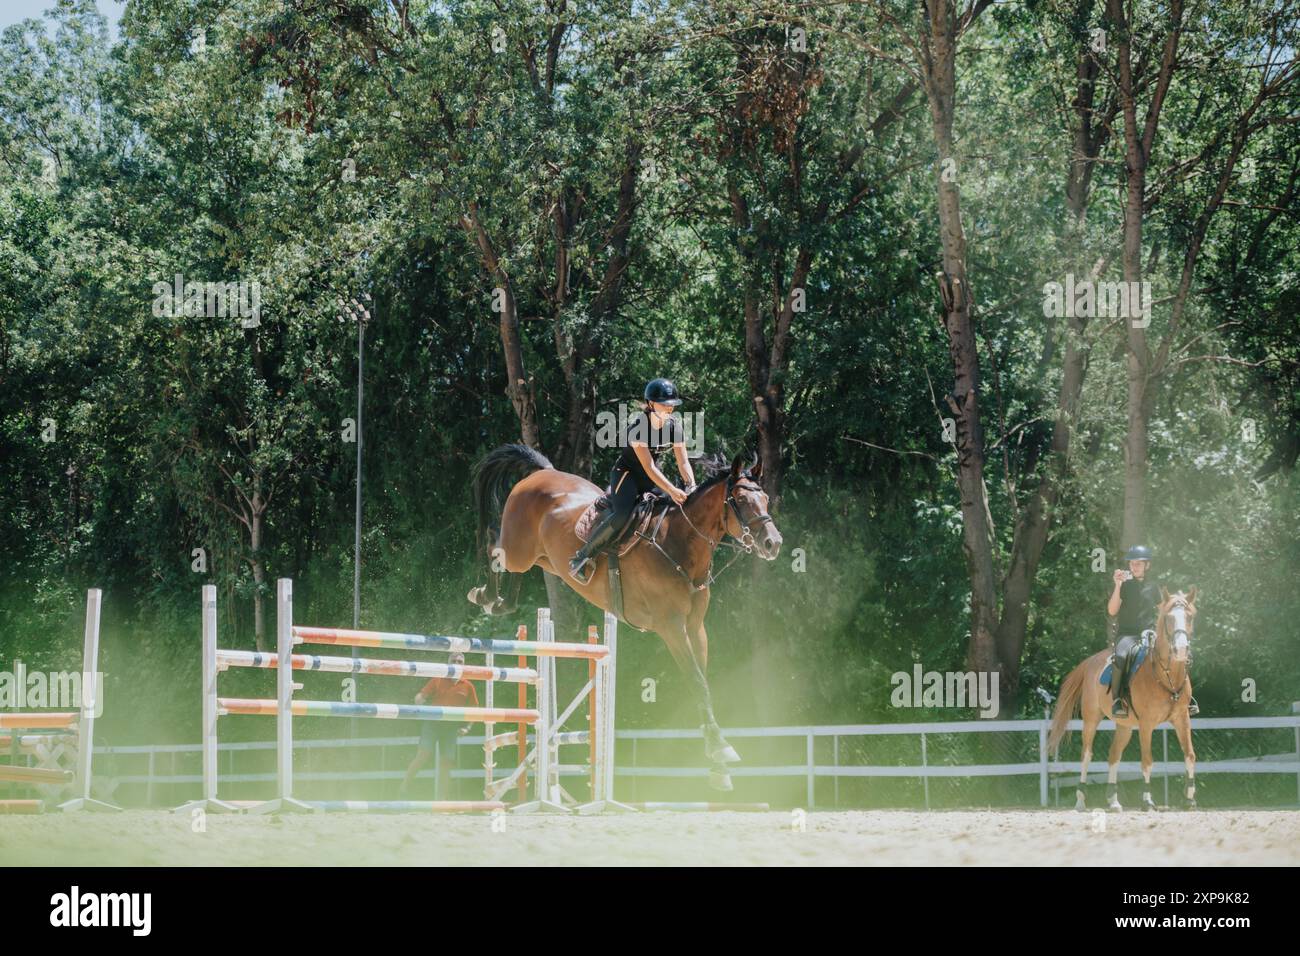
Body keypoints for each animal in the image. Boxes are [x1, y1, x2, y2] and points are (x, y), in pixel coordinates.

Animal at [467, 444, 782, 789]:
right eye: (741, 501)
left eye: (765, 500)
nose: (774, 544)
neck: (679, 545)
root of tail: (542, 473)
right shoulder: (671, 627)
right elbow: (697, 682)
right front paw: (720, 751)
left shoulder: (695, 627)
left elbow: (702, 683)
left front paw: (717, 764)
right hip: (519, 549)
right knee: (493, 544)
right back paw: (484, 595)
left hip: (543, 558)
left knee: (515, 571)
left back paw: (501, 602)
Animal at [1048, 588, 1198, 811]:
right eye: (1169, 618)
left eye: (1189, 617)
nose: (1180, 650)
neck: (1165, 675)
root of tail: (1091, 661)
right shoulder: (1146, 724)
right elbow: (1147, 761)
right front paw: (1148, 801)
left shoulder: (1182, 719)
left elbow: (1189, 756)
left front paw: (1189, 800)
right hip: (1091, 720)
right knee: (1086, 755)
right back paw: (1081, 800)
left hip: (1125, 726)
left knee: (1113, 756)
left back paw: (1113, 801)